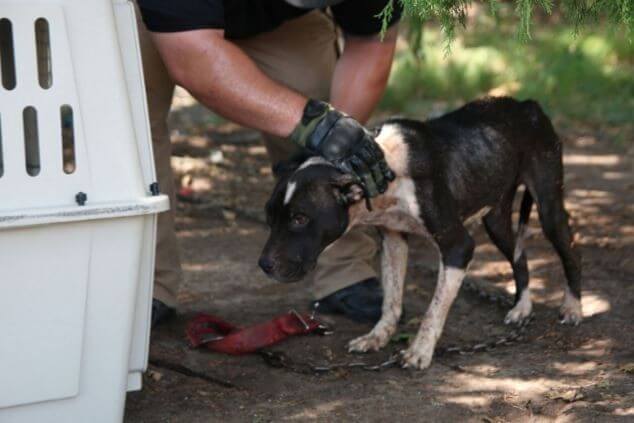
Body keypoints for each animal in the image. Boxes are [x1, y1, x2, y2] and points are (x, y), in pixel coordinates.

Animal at [256, 97, 576, 370]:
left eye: (300, 219)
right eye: (270, 217)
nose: (264, 265)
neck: (385, 169)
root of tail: (527, 105)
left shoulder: (459, 247)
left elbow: (434, 310)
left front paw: (420, 351)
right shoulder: (393, 240)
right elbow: (391, 301)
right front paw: (377, 337)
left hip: (548, 207)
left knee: (571, 252)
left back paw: (573, 307)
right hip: (495, 220)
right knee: (520, 259)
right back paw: (522, 308)